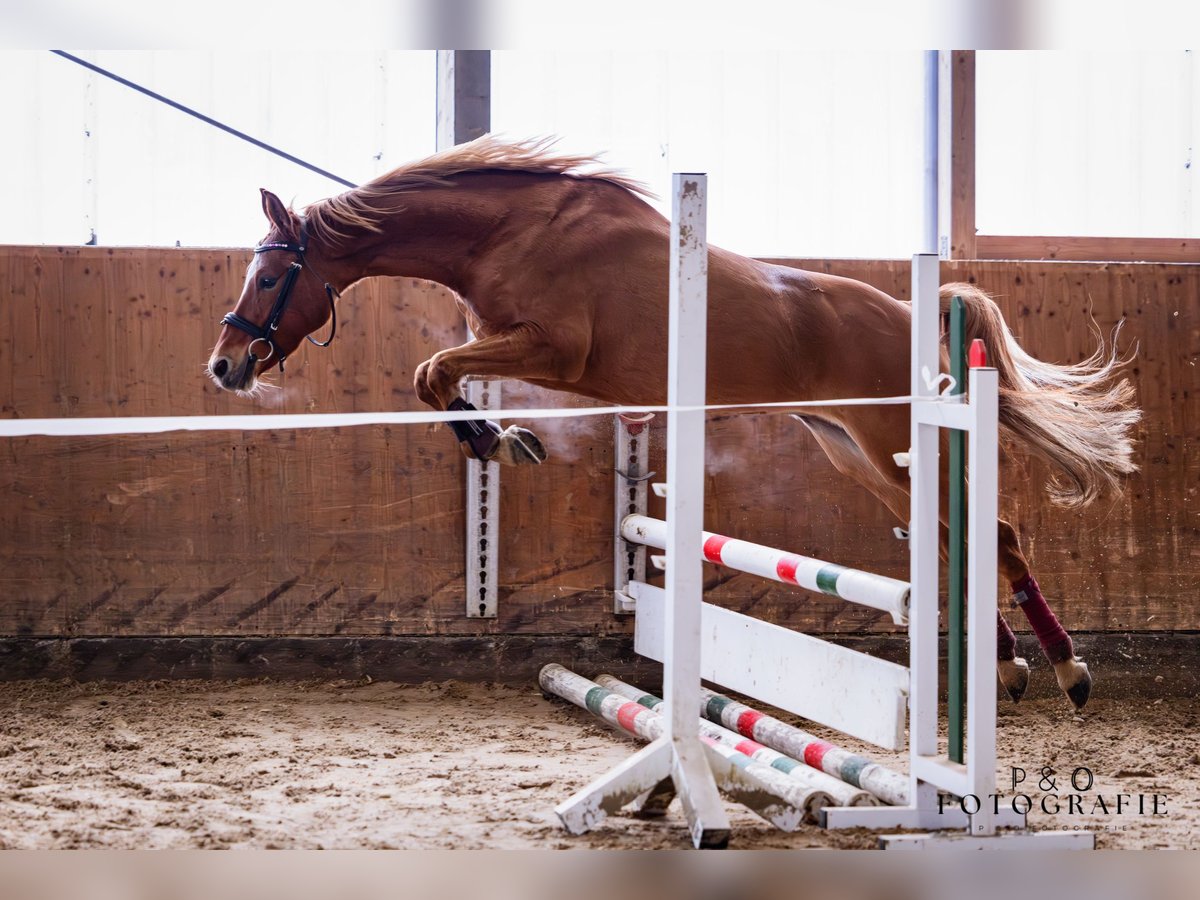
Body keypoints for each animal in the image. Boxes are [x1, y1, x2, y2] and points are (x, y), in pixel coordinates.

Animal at [208, 135, 1142, 710]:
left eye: (270, 278)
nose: (224, 365)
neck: (511, 230)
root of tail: (913, 314)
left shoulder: (551, 349)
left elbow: (432, 373)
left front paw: (502, 443)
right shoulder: (516, 349)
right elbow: (436, 380)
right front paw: (505, 439)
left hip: (892, 447)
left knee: (993, 533)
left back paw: (1067, 669)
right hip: (855, 454)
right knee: (963, 539)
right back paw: (1016, 667)